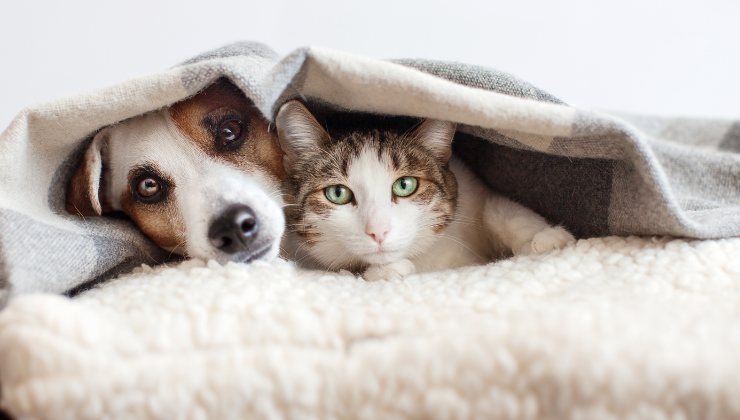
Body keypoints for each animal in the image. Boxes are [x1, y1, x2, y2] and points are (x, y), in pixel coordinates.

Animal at [274, 100, 576, 280]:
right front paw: (387, 270)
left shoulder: (471, 186)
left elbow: (500, 209)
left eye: (405, 185)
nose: (378, 231)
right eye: (337, 193)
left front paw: (546, 238)